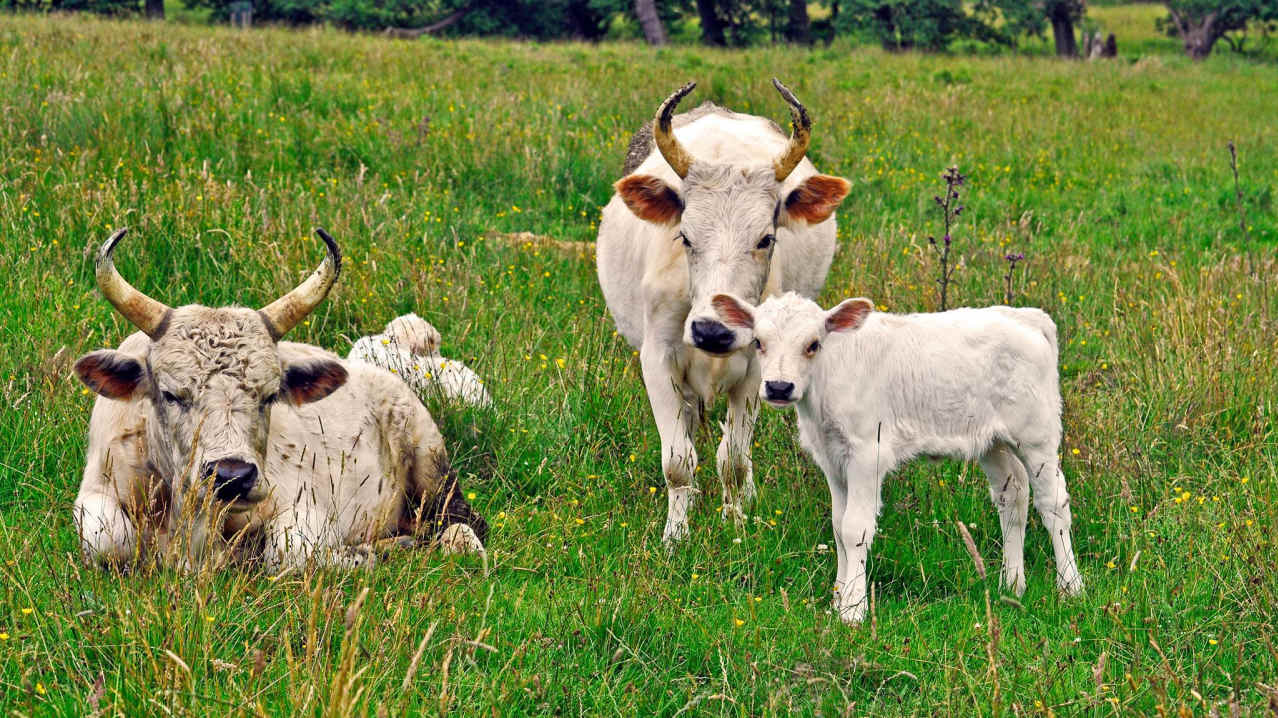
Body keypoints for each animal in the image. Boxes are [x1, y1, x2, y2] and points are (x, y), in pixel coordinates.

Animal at [72, 228, 487, 571]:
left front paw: (360, 555)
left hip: (431, 461)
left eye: (270, 395)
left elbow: (289, 550)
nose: (232, 477)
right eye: (171, 394)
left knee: (460, 521)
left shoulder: (306, 507)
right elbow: (107, 539)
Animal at [596, 79, 851, 544]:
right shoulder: (657, 358)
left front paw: (736, 522)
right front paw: (676, 534)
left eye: (766, 239)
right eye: (685, 236)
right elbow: (678, 460)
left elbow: (732, 458)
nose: (712, 332)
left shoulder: (756, 368)